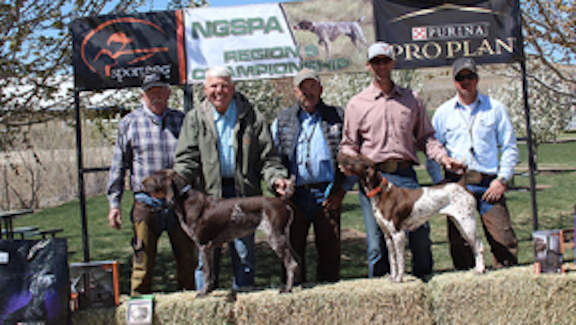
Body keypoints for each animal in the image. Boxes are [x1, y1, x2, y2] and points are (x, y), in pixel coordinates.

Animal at [142, 170, 300, 296]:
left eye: (155, 177)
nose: (142, 182)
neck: (184, 201)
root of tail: (282, 200)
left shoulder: (203, 245)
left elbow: (206, 274)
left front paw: (203, 293)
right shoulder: (210, 248)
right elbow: (211, 273)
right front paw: (210, 290)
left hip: (275, 237)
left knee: (291, 264)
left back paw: (287, 289)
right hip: (285, 238)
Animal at [338, 152, 486, 280]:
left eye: (356, 158)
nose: (340, 153)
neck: (381, 192)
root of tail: (460, 184)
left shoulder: (398, 234)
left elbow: (400, 259)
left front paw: (399, 279)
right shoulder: (388, 236)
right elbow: (392, 260)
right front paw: (392, 277)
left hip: (467, 223)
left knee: (479, 245)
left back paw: (480, 270)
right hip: (460, 224)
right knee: (474, 246)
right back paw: (477, 269)